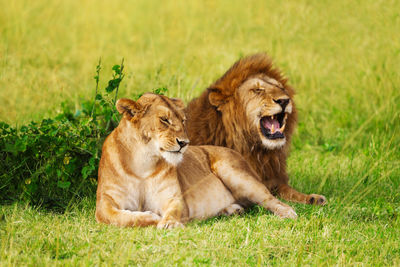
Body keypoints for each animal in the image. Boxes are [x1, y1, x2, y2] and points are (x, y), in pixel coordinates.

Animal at [96, 93, 296, 229]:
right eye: (164, 120)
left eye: (183, 120)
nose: (184, 143)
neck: (144, 163)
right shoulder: (105, 202)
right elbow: (117, 217)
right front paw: (151, 217)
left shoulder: (174, 198)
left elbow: (173, 211)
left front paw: (168, 223)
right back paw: (231, 210)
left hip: (234, 171)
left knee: (269, 198)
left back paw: (288, 212)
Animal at [186, 54, 326, 205]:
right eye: (258, 90)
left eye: (281, 88)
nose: (284, 100)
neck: (256, 150)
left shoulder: (273, 178)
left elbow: (290, 191)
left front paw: (313, 198)